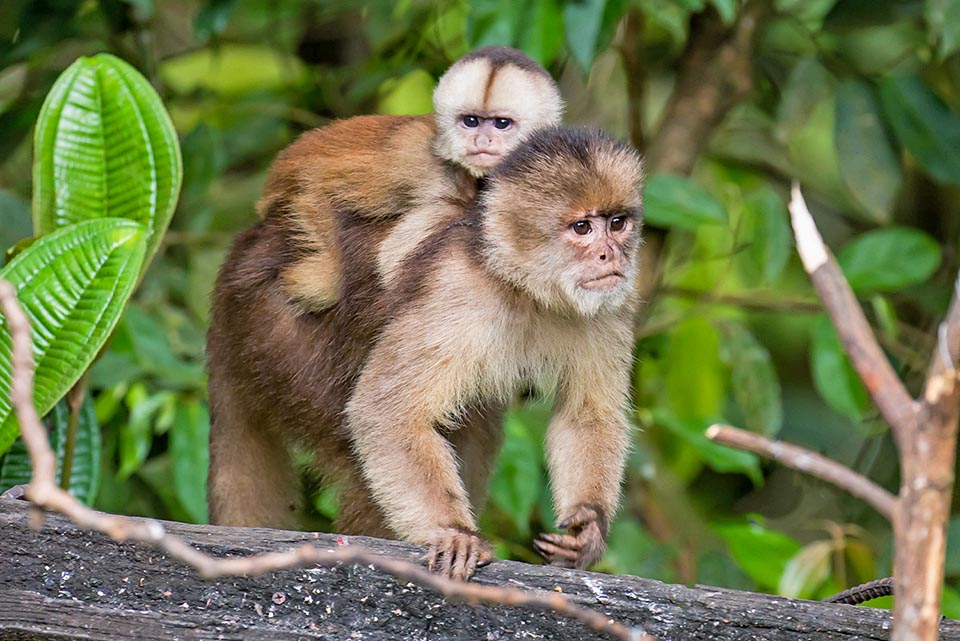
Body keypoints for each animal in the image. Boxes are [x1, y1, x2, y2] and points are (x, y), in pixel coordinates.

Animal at [210, 126, 644, 580]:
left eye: (617, 223)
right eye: (582, 228)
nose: (610, 254)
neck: (520, 284)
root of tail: (248, 248)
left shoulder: (615, 304)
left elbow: (585, 416)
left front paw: (588, 527)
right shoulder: (455, 288)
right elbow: (385, 413)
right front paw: (453, 531)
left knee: (475, 426)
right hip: (275, 334)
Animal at [260, 46, 564, 312]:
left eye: (501, 124)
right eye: (471, 121)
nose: (481, 141)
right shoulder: (412, 158)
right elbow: (316, 181)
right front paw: (324, 280)